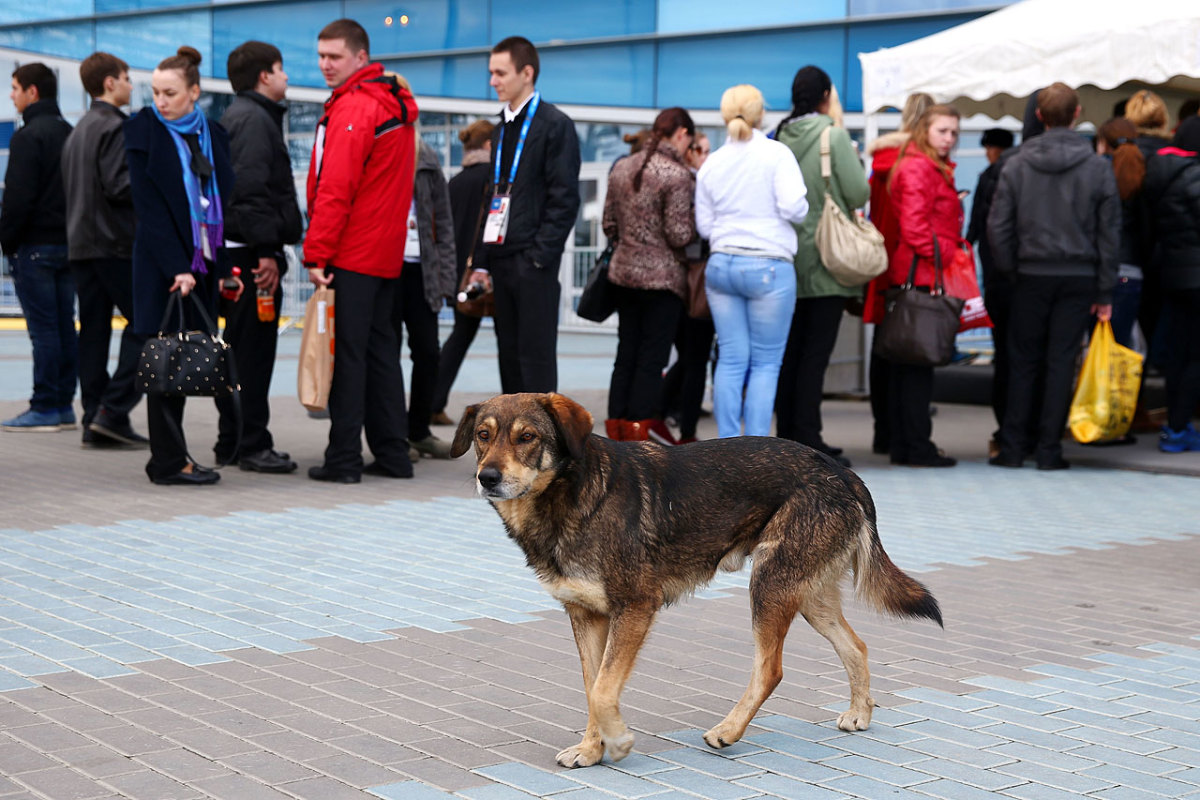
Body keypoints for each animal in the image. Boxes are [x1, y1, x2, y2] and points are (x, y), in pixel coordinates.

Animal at [451, 393, 945, 767]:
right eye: (482, 436)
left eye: (527, 437)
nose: (487, 477)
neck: (571, 497)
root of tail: (844, 473)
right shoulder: (586, 615)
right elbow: (593, 688)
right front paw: (592, 750)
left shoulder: (636, 607)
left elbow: (604, 689)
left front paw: (619, 742)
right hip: (806, 594)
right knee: (856, 646)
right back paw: (860, 713)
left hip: (770, 586)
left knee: (771, 669)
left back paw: (728, 731)